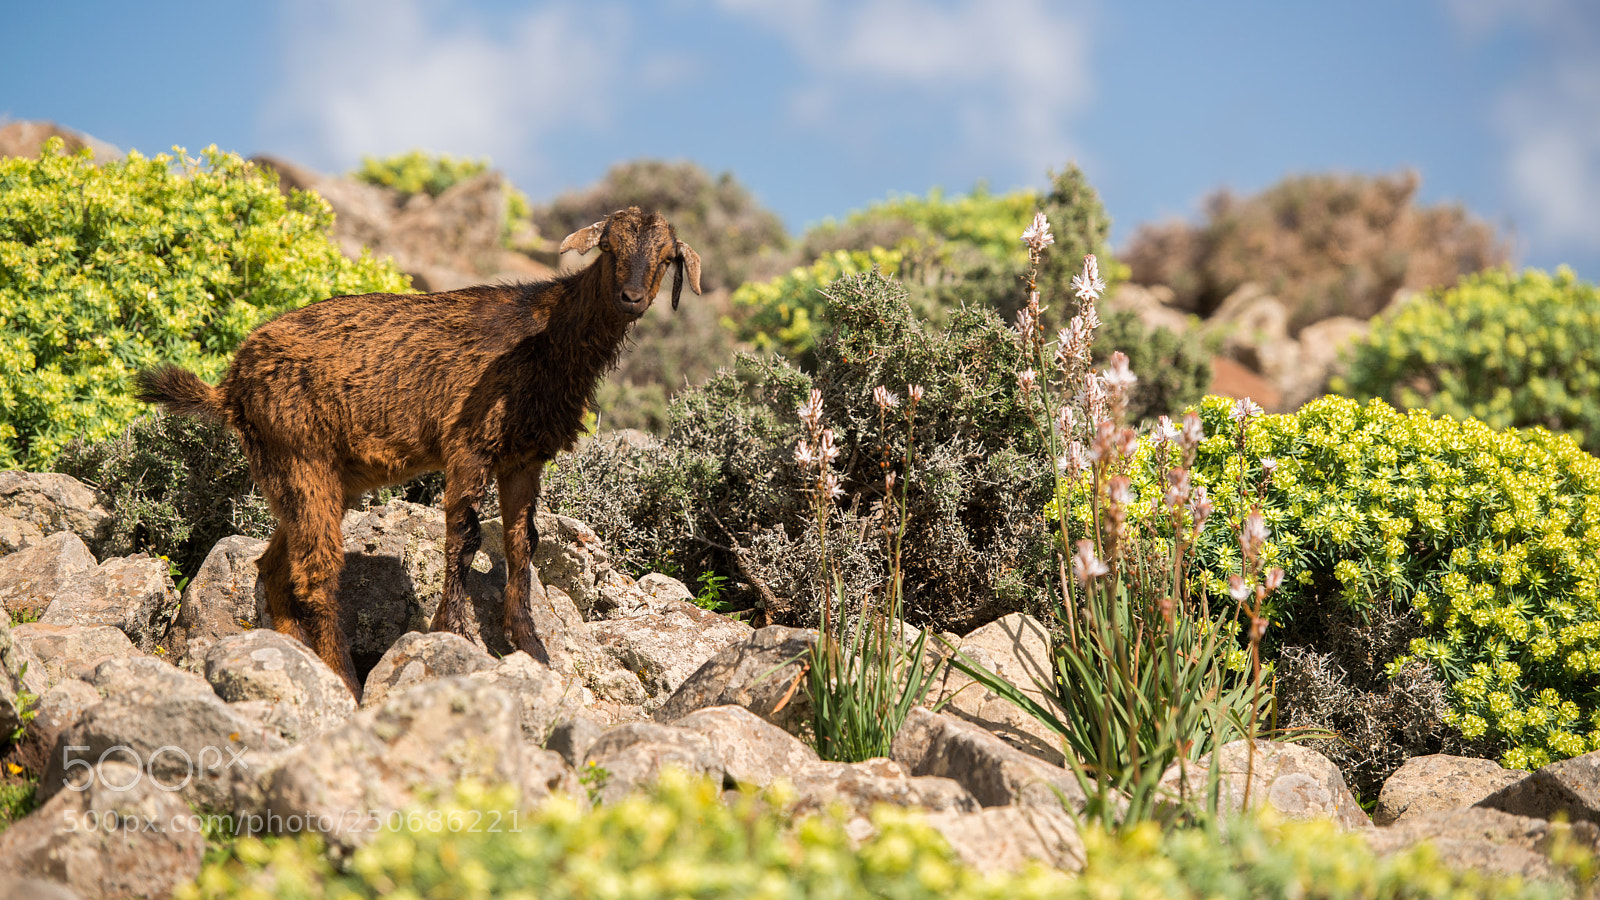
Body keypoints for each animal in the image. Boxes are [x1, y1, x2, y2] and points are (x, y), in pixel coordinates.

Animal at [136, 207, 701, 699]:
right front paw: (451, 633)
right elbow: (465, 538)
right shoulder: (468, 445)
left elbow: (523, 544)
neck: (545, 332)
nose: (631, 297)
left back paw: (296, 655)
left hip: (307, 476)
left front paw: (532, 648)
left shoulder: (524, 457)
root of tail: (230, 384)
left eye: (666, 256)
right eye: (609, 248)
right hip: (301, 456)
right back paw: (345, 681)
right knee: (315, 570)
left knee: (275, 565)